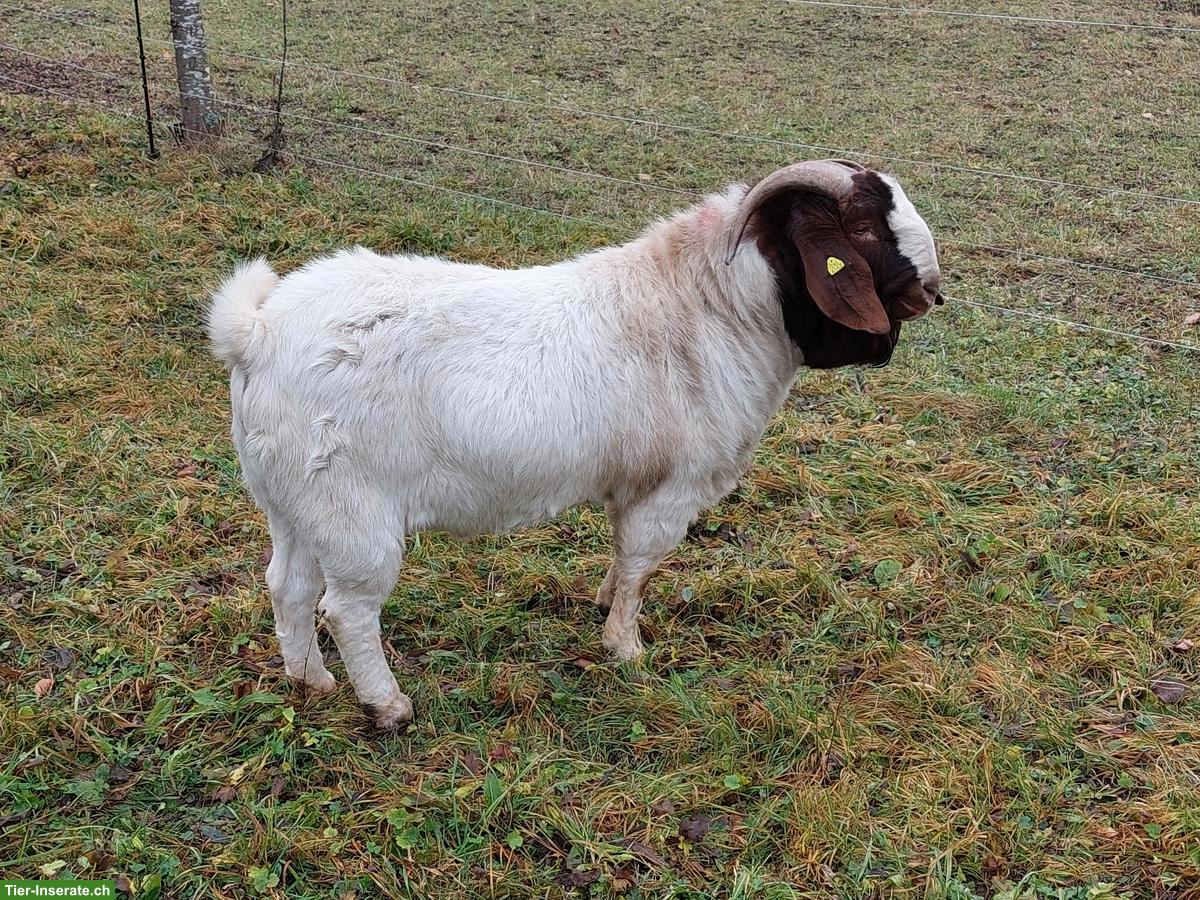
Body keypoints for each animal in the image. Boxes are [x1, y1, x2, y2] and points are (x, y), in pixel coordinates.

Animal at [208, 159, 943, 729]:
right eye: (866, 227)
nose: (933, 290)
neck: (706, 311)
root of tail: (256, 334)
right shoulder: (672, 488)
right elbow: (643, 560)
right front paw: (626, 648)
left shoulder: (632, 485)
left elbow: (624, 557)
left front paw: (604, 601)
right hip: (353, 513)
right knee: (347, 609)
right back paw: (387, 706)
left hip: (294, 504)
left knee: (288, 588)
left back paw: (311, 681)